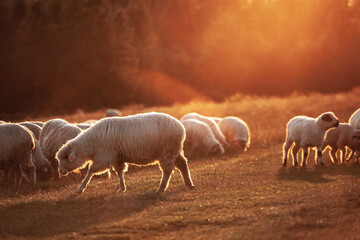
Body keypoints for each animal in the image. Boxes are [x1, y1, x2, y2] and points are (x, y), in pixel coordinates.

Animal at [56, 112, 195, 193]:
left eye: (66, 157)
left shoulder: (104, 157)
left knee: (167, 170)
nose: (60, 172)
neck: (91, 143)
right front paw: (122, 188)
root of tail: (180, 127)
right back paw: (189, 184)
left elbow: (90, 171)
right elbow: (119, 172)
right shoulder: (117, 157)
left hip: (167, 151)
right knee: (183, 164)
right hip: (174, 150)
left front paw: (80, 188)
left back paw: (161, 188)